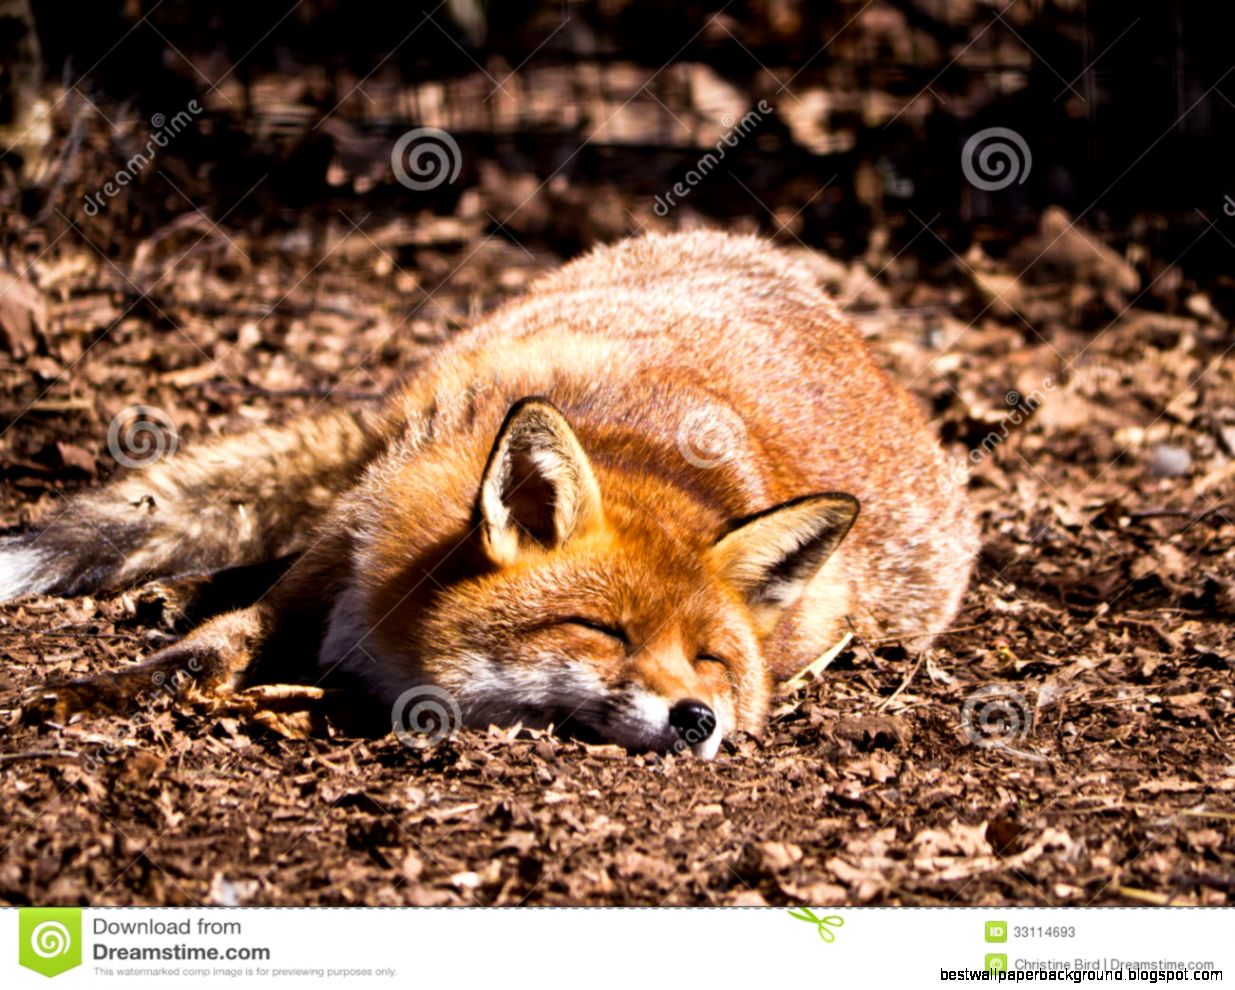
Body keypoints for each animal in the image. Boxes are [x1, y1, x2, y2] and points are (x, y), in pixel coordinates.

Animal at [0, 231, 977, 758]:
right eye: (601, 631)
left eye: (710, 660)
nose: (698, 718)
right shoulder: (350, 541)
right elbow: (220, 642)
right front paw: (104, 690)